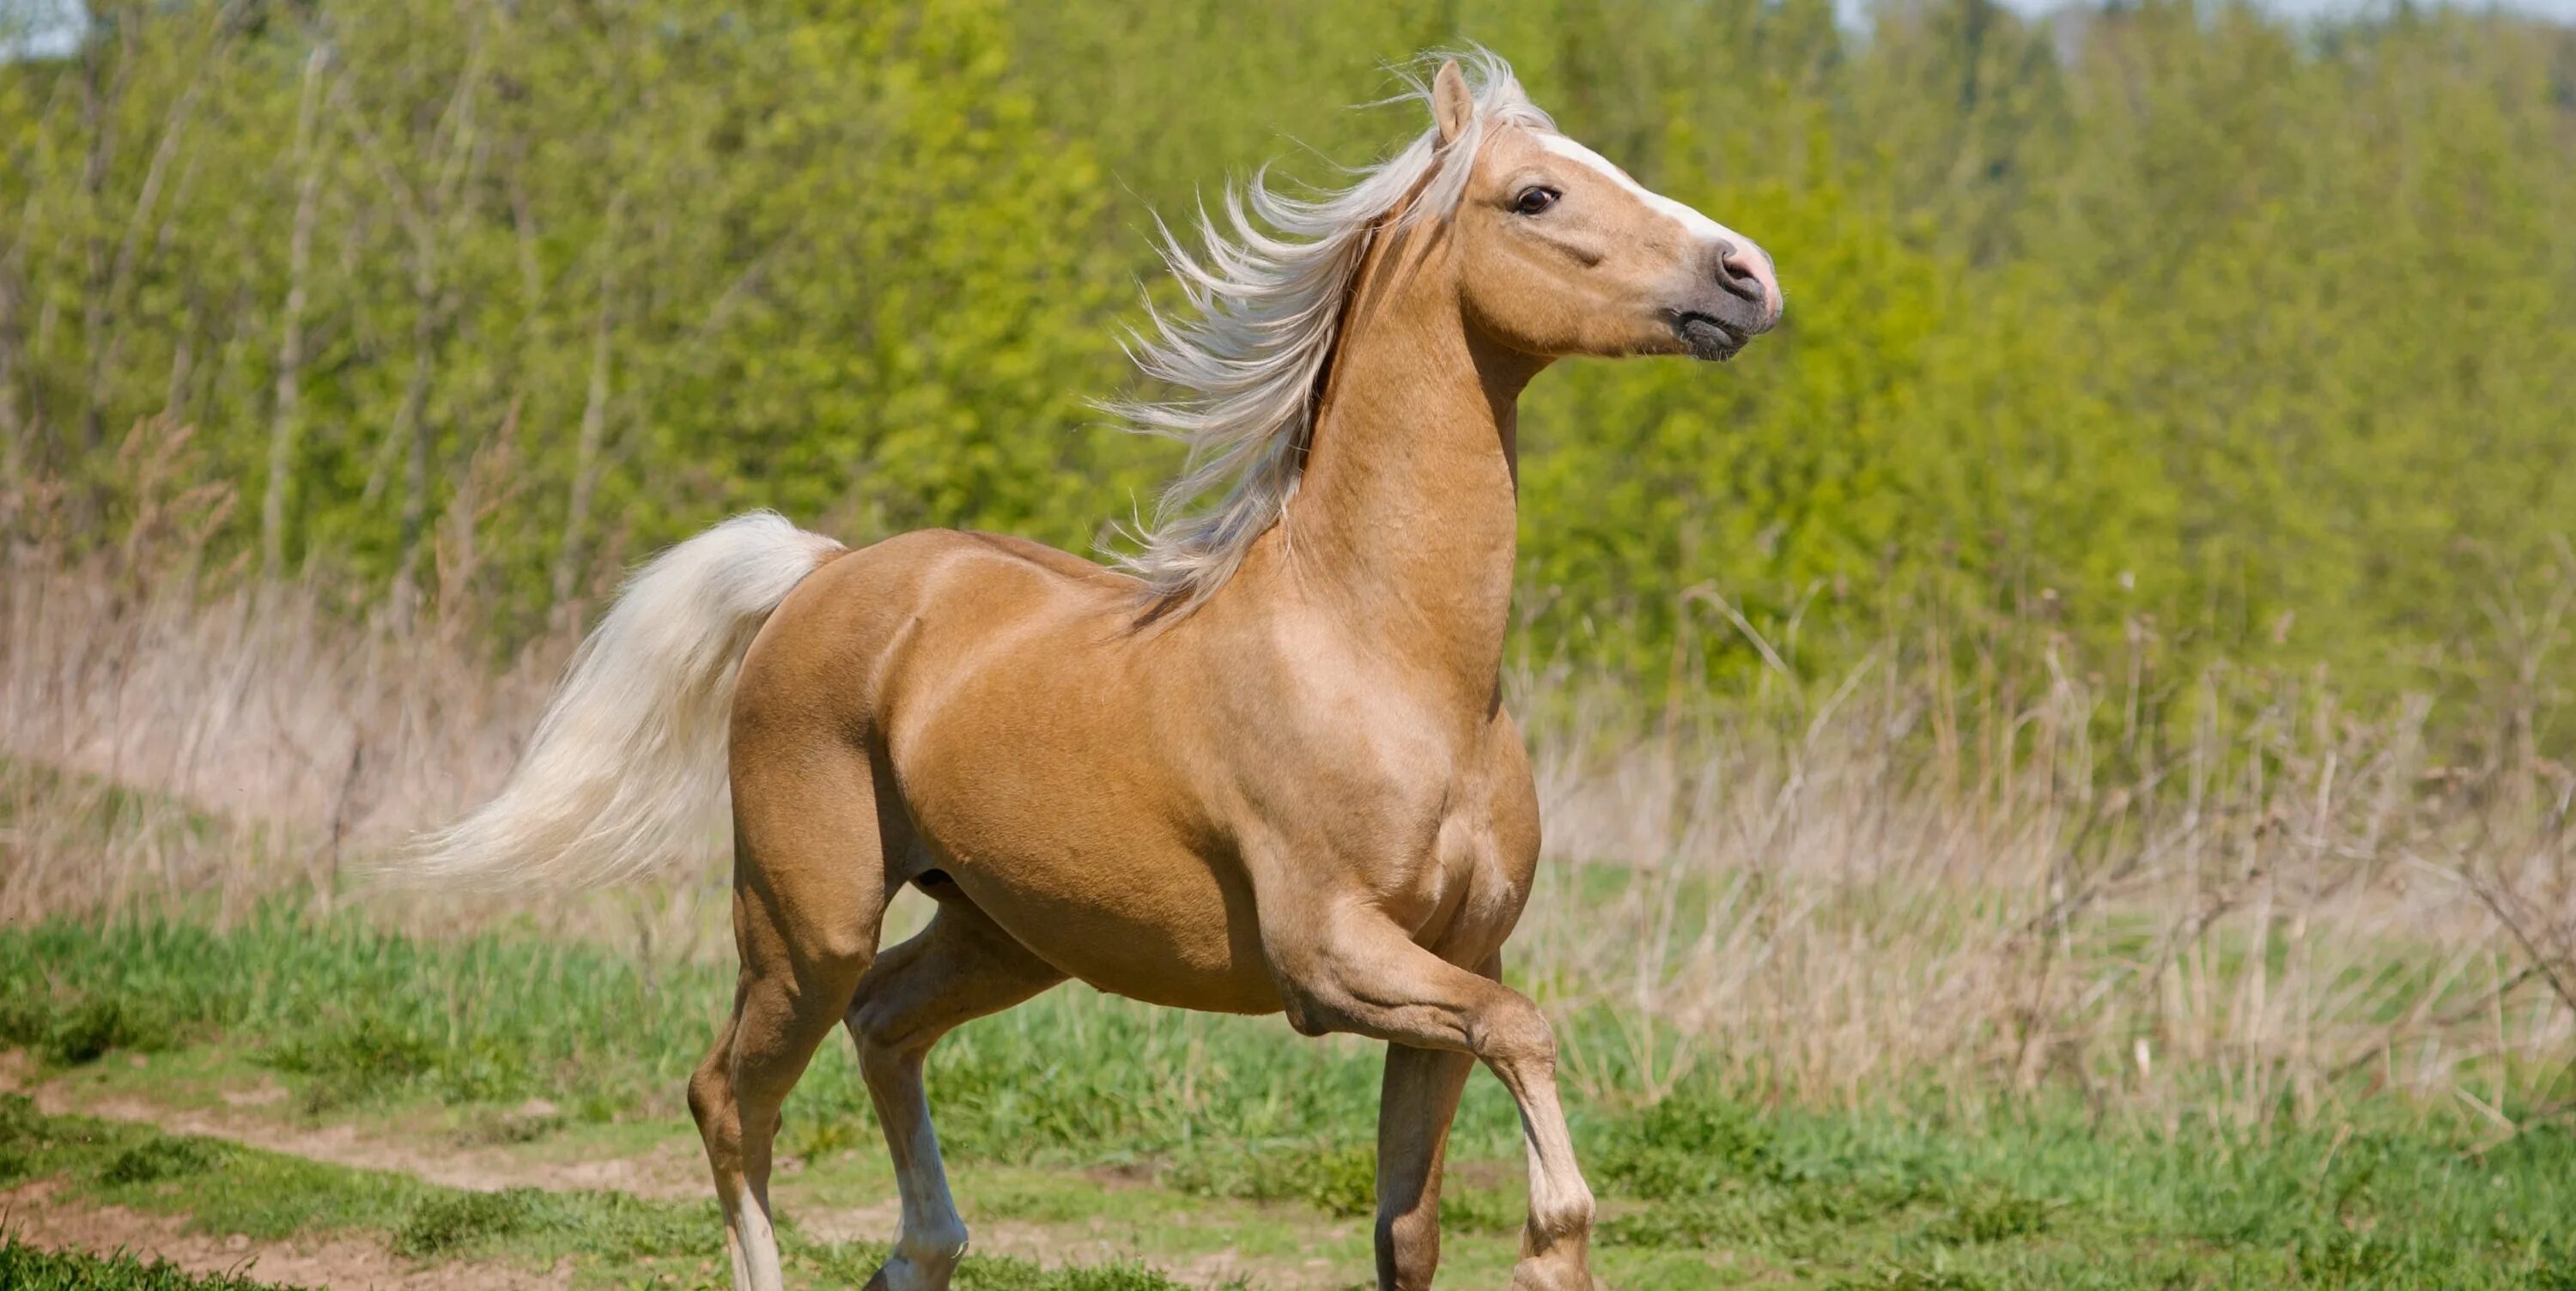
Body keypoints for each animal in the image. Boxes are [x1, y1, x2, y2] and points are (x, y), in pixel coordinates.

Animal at [417, 50, 1772, 1288]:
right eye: (1537, 195)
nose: (1748, 277)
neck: (1384, 655)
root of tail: (825, 574)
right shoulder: (1333, 959)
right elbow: (1529, 1042)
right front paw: (1552, 1238)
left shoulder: (1452, 970)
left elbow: (1412, 1225)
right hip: (806, 923)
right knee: (729, 1098)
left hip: (1007, 932)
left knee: (884, 1026)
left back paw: (926, 1251)